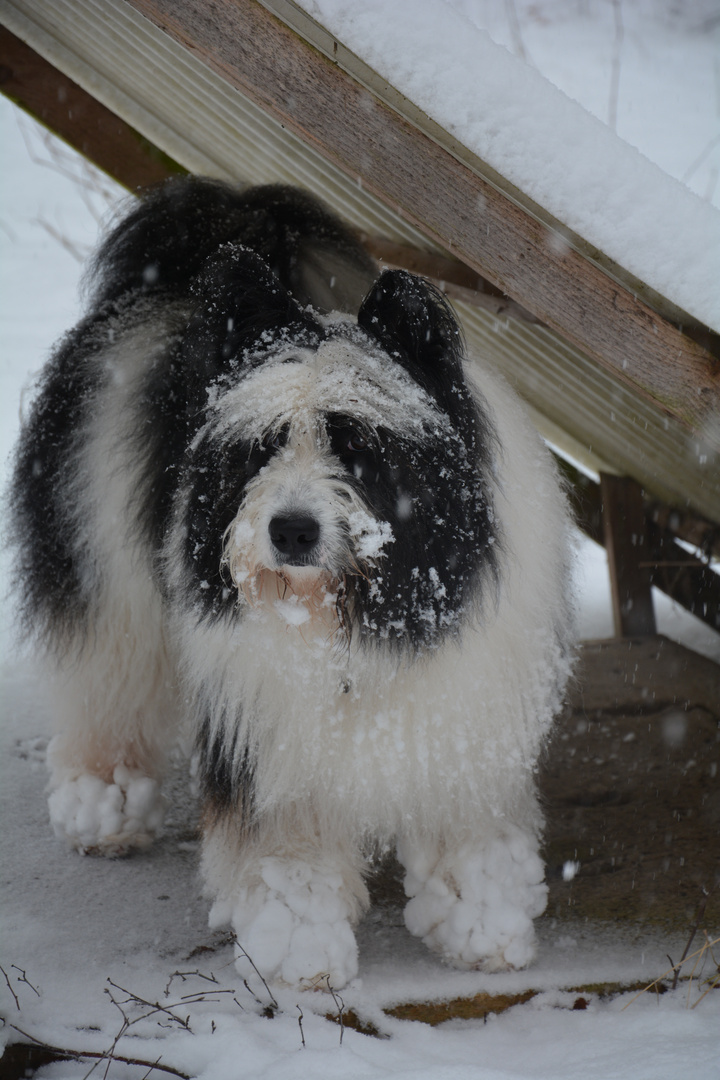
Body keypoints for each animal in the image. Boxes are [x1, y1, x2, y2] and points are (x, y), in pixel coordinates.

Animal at [9, 174, 574, 989]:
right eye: (264, 446)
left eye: (358, 447)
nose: (292, 530)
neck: (356, 618)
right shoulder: (268, 730)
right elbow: (290, 856)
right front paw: (300, 956)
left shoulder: (465, 715)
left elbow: (469, 832)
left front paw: (482, 932)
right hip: (103, 556)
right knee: (106, 683)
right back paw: (103, 807)